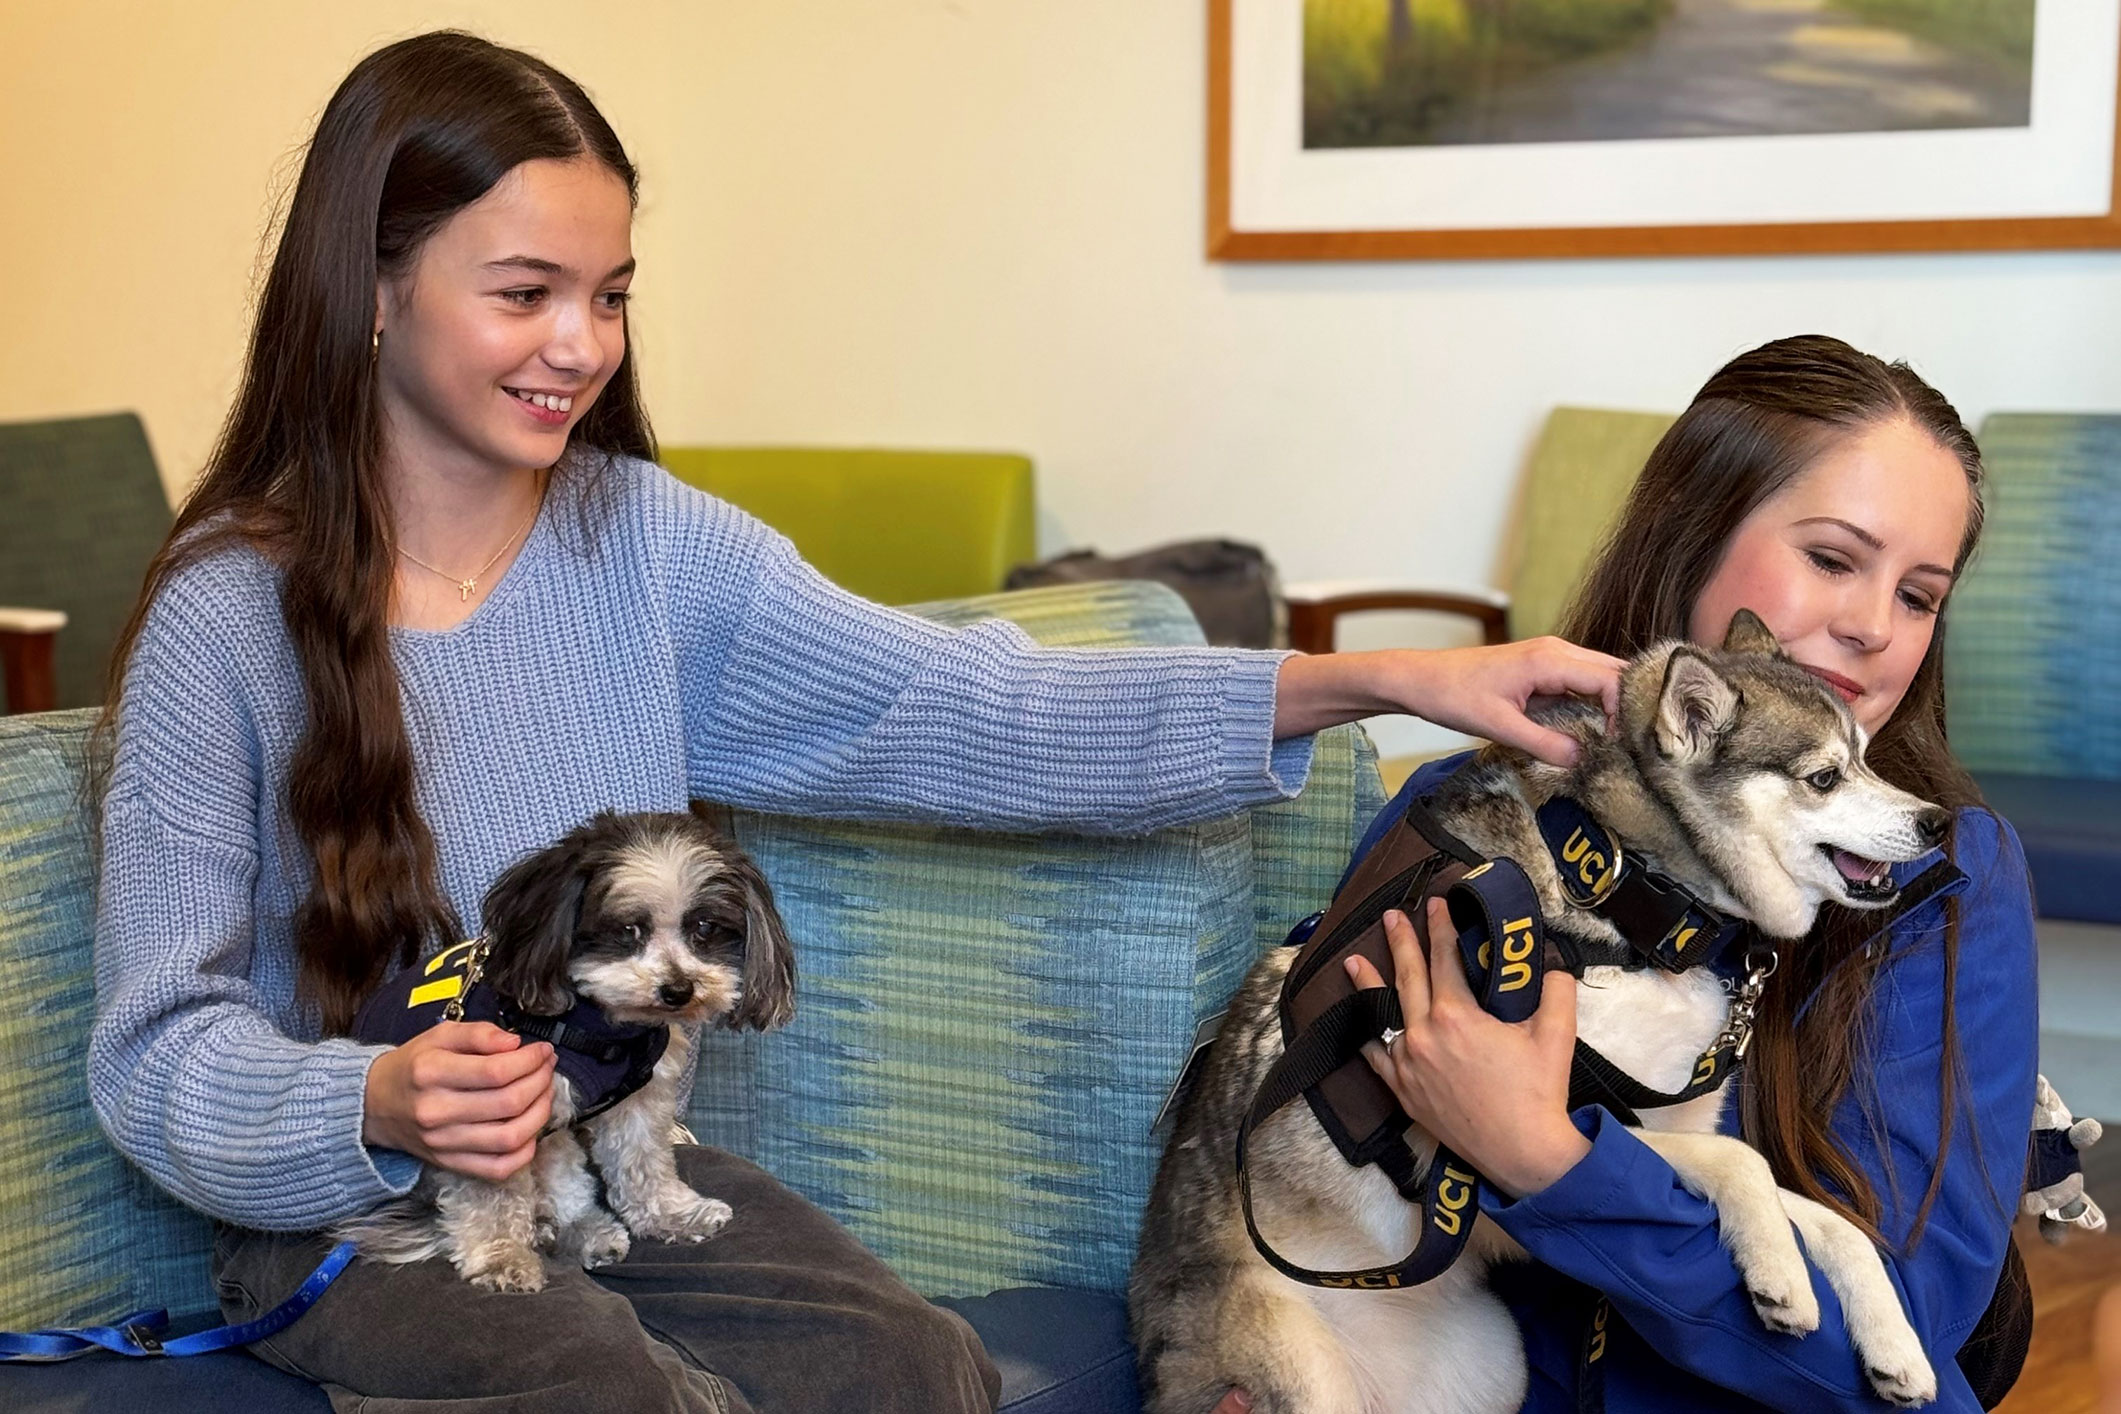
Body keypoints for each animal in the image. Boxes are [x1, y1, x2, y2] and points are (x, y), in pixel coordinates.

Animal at [343, 805, 793, 1297]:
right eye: (628, 930)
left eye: (704, 929)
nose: (678, 990)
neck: (597, 1028)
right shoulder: (485, 1118)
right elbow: (491, 1196)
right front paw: (502, 1256)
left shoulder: (636, 1102)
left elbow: (643, 1162)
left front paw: (672, 1214)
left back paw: (578, 1230)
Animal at [1136, 614, 1942, 1414]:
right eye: (1824, 777)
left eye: (1866, 757)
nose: (1935, 823)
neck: (1622, 888)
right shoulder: (1527, 1134)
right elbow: (1743, 1162)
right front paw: (1779, 1270)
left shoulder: (1666, 1125)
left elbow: (1835, 1224)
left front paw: (1894, 1344)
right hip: (1309, 1372)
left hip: (1495, 1364)